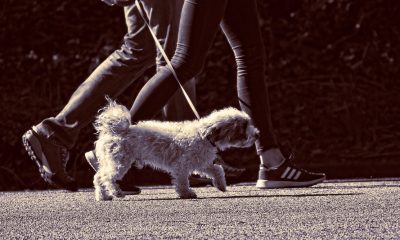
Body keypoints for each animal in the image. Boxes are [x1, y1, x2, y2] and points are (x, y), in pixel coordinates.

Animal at [93, 100, 260, 201]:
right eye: (243, 127)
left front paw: (221, 185)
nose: (257, 134)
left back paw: (103, 196)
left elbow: (217, 169)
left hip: (113, 161)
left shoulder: (202, 162)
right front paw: (186, 193)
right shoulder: (182, 165)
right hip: (120, 161)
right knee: (107, 177)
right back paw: (116, 192)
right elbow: (182, 181)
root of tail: (116, 130)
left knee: (98, 177)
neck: (204, 135)